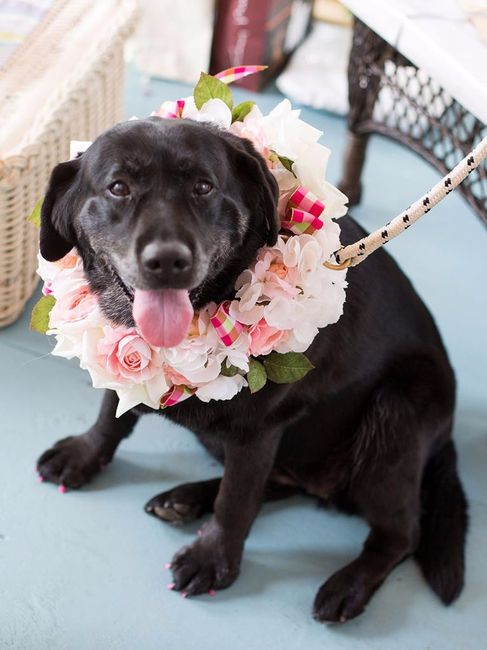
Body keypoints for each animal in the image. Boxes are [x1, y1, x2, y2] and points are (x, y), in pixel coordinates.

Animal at [36, 117, 468, 624]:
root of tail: (448, 439)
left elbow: (237, 501)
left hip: (397, 412)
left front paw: (213, 558)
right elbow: (112, 414)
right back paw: (184, 499)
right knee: (278, 484)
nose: (167, 260)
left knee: (401, 534)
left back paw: (349, 584)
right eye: (118, 187)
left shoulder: (258, 431)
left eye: (203, 186)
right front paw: (85, 453)